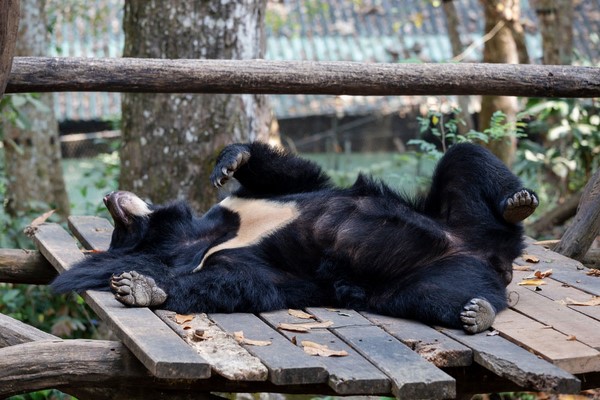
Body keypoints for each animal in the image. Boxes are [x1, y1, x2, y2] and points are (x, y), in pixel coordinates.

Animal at [52, 142, 540, 332]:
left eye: (119, 226)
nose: (111, 196)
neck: (200, 235)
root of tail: (495, 259)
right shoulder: (229, 260)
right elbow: (237, 283)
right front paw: (139, 286)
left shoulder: (250, 201)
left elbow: (297, 175)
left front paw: (230, 162)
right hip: (424, 279)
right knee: (431, 296)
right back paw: (476, 312)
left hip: (463, 218)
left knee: (464, 158)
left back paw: (519, 200)